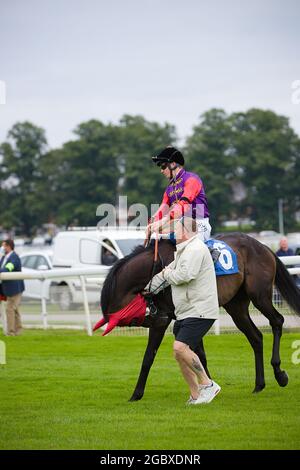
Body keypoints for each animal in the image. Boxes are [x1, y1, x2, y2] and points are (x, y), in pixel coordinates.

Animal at [100, 231, 300, 400]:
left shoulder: (170, 319)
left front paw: (136, 393)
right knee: (256, 337)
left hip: (259, 295)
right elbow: (197, 354)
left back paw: (280, 374)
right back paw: (259, 384)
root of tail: (263, 247)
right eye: (137, 318)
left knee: (277, 321)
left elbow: (151, 356)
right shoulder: (184, 317)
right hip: (236, 306)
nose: (160, 316)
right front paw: (208, 386)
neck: (156, 266)